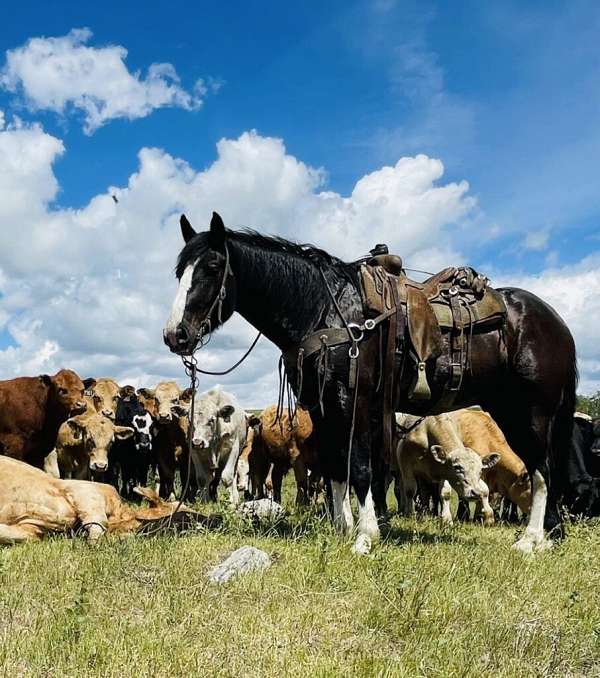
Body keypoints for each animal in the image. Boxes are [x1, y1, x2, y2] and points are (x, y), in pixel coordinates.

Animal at [164, 215, 576, 556]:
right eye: (179, 271)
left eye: (213, 267)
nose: (174, 335)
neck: (326, 311)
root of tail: (555, 322)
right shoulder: (323, 409)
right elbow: (335, 468)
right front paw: (341, 526)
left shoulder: (353, 403)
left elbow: (359, 468)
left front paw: (365, 535)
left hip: (529, 414)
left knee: (542, 471)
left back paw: (530, 540)